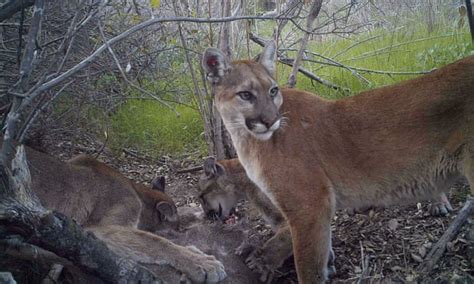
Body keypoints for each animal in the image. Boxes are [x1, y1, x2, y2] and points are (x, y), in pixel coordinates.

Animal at [201, 42, 474, 284]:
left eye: (273, 90)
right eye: (245, 95)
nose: (271, 121)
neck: (247, 141)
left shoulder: (308, 207)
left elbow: (308, 268)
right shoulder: (317, 210)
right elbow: (323, 251)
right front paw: (329, 266)